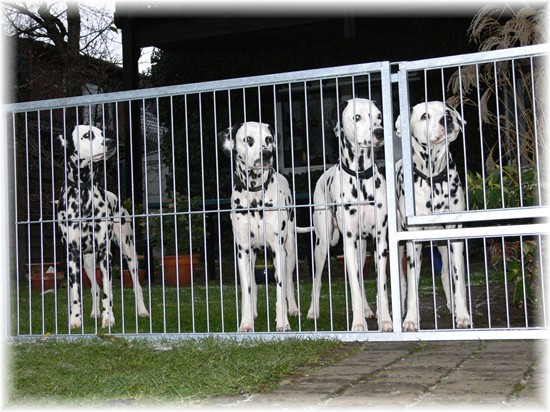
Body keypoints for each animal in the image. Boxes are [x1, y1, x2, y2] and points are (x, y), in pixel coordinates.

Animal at [56, 125, 149, 329]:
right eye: (87, 135)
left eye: (102, 132)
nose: (112, 142)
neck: (84, 195)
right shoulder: (72, 256)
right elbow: (76, 293)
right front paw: (75, 320)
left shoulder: (106, 254)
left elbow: (108, 291)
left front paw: (109, 319)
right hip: (88, 263)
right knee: (95, 288)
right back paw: (94, 313)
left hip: (128, 253)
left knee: (136, 286)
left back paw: (142, 311)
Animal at [219, 121, 312, 332]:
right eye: (248, 139)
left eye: (268, 139)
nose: (267, 154)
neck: (255, 195)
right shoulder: (243, 251)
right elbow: (247, 290)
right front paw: (246, 323)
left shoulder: (278, 250)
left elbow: (280, 289)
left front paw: (283, 322)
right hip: (252, 256)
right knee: (252, 285)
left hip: (289, 252)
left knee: (288, 282)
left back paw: (292, 309)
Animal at [307, 98, 392, 332]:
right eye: (357, 117)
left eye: (379, 116)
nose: (379, 132)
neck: (360, 177)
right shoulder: (349, 242)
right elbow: (353, 286)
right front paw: (358, 323)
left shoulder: (380, 241)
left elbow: (381, 285)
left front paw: (385, 320)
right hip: (322, 244)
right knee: (317, 279)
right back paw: (312, 311)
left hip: (362, 248)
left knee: (362, 280)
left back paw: (367, 309)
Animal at [395, 101, 471, 331]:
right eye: (424, 116)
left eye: (447, 111)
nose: (447, 119)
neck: (433, 178)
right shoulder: (413, 242)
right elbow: (412, 285)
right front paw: (410, 319)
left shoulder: (454, 237)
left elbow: (458, 281)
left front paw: (462, 315)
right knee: (402, 281)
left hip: (444, 245)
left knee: (447, 274)